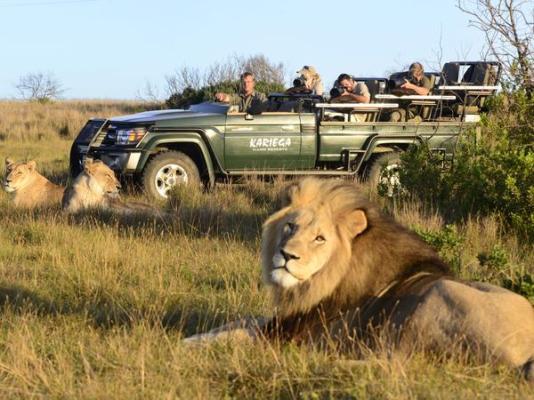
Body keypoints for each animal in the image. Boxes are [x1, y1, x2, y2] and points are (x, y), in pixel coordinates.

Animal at [187, 178, 534, 382]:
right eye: (290, 226)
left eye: (320, 239)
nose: (286, 255)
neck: (315, 285)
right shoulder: (285, 319)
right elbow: (239, 321)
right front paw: (196, 336)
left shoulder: (296, 332)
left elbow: (240, 334)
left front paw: (188, 344)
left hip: (434, 300)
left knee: (397, 364)